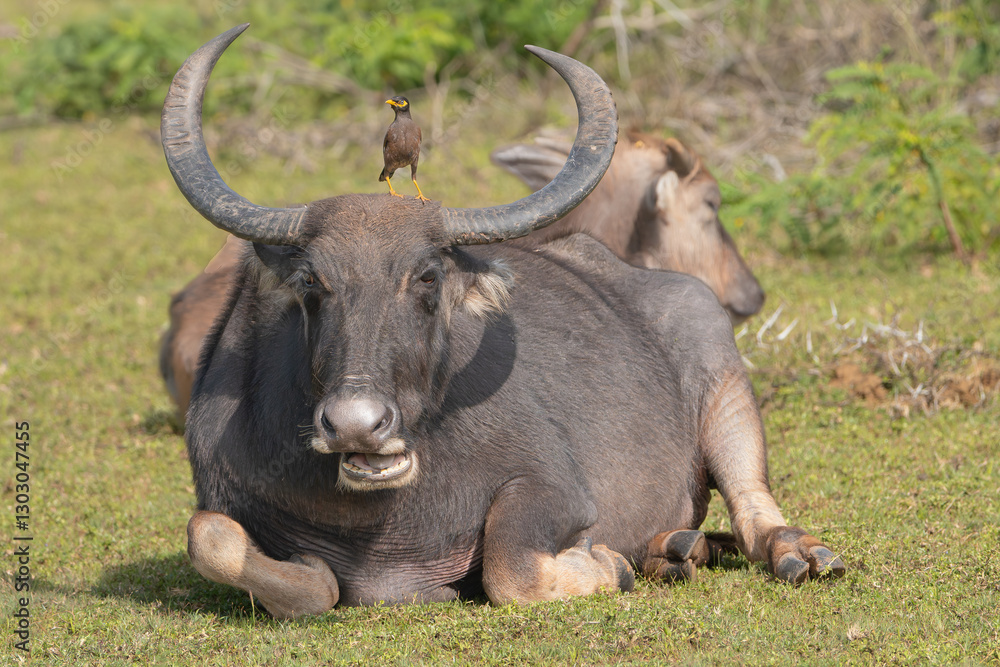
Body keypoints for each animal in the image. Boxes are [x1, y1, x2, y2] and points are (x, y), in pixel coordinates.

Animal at [163, 25, 843, 618]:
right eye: (311, 281)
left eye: (427, 277)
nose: (357, 424)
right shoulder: (227, 501)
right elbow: (217, 540)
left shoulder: (554, 487)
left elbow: (510, 568)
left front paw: (606, 565)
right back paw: (673, 550)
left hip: (726, 389)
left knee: (753, 508)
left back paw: (796, 554)